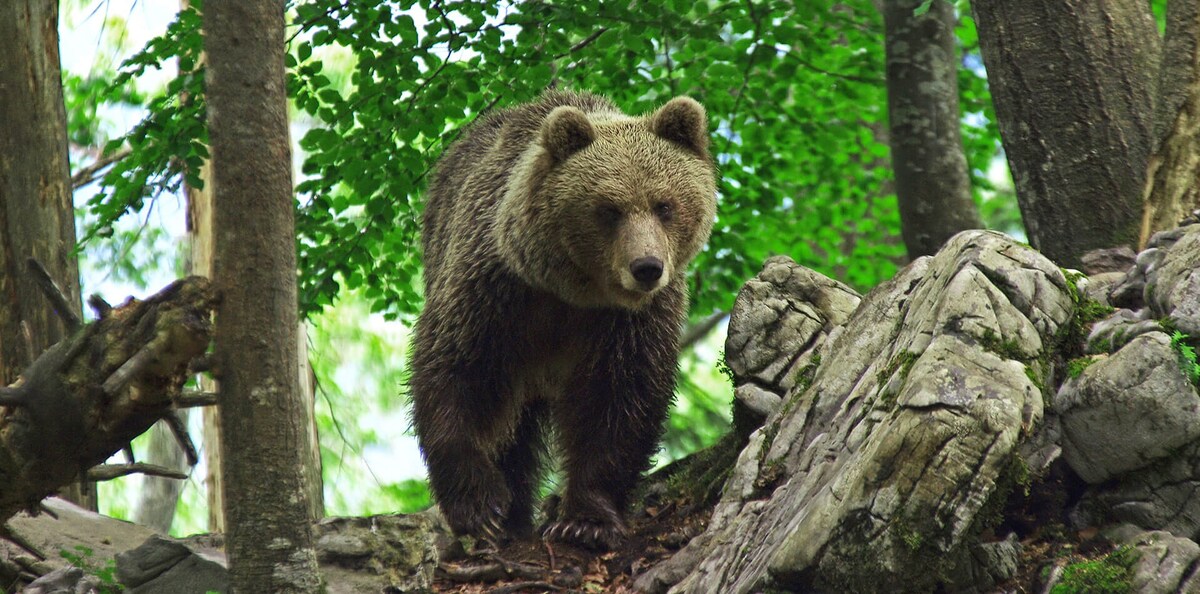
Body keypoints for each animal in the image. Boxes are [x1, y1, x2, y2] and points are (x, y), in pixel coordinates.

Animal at [408, 90, 715, 552]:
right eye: (609, 209)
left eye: (665, 205)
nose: (646, 267)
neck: (572, 291)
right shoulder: (495, 291)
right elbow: (458, 372)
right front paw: (480, 507)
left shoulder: (627, 322)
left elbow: (618, 398)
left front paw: (585, 521)